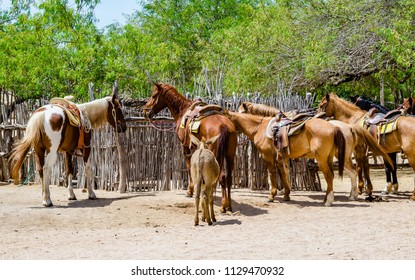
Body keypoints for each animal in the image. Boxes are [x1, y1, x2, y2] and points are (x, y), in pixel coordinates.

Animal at [142, 82, 236, 212]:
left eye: (154, 95)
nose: (145, 112)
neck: (182, 110)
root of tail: (224, 126)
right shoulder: (195, 148)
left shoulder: (185, 146)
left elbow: (188, 166)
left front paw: (190, 191)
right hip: (230, 155)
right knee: (229, 178)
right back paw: (229, 205)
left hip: (216, 155)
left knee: (221, 177)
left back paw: (223, 206)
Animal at [239, 101, 392, 200]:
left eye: (241, 111)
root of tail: (350, 127)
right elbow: (284, 174)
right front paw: (285, 192)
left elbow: (282, 174)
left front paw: (281, 192)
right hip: (349, 154)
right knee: (358, 168)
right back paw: (358, 193)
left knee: (358, 168)